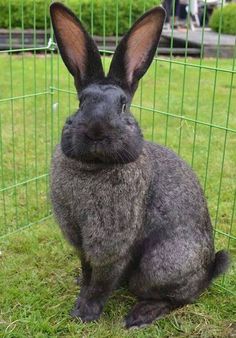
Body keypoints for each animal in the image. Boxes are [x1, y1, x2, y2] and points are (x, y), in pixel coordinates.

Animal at [49, 2, 229, 328]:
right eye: (81, 103)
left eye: (123, 106)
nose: (97, 130)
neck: (94, 166)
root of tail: (207, 273)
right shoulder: (82, 242)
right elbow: (87, 271)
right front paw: (80, 293)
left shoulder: (112, 243)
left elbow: (102, 281)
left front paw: (84, 313)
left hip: (161, 264)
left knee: (179, 298)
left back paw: (140, 315)